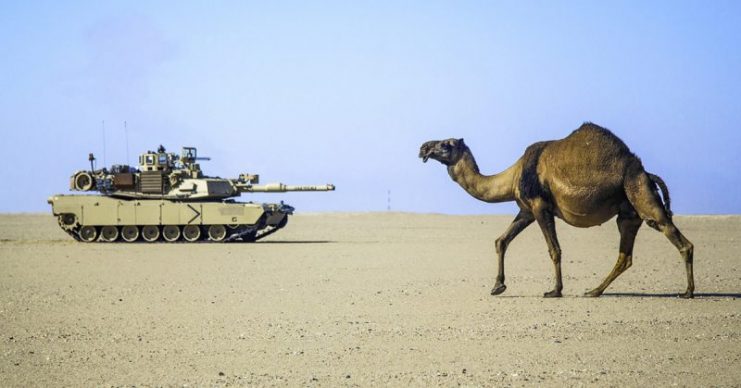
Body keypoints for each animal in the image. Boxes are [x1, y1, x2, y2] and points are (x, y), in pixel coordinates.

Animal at [422, 123, 692, 298]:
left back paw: (688, 291)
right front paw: (498, 286)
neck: (514, 175)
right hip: (628, 211)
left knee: (674, 235)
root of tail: (646, 173)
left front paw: (555, 290)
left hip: (639, 191)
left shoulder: (540, 206)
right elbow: (501, 241)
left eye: (446, 144)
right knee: (625, 255)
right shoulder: (526, 210)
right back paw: (594, 291)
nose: (423, 147)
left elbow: (554, 250)